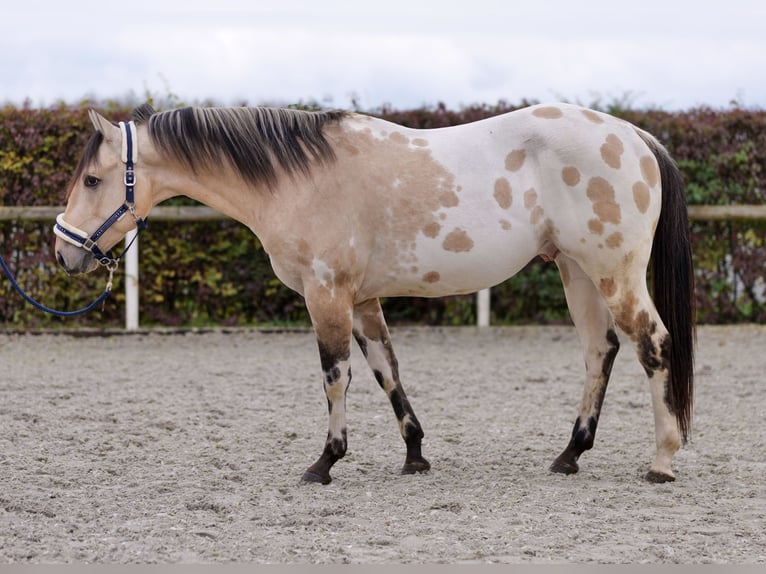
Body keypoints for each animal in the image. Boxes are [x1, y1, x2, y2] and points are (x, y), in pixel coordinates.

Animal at [57, 102, 700, 486]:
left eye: (92, 179)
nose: (65, 253)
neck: (298, 178)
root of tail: (634, 135)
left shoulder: (326, 296)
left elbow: (335, 375)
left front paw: (325, 462)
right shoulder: (363, 301)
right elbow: (386, 370)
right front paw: (415, 455)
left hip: (613, 273)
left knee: (653, 345)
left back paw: (663, 460)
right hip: (576, 272)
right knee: (600, 352)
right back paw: (571, 454)